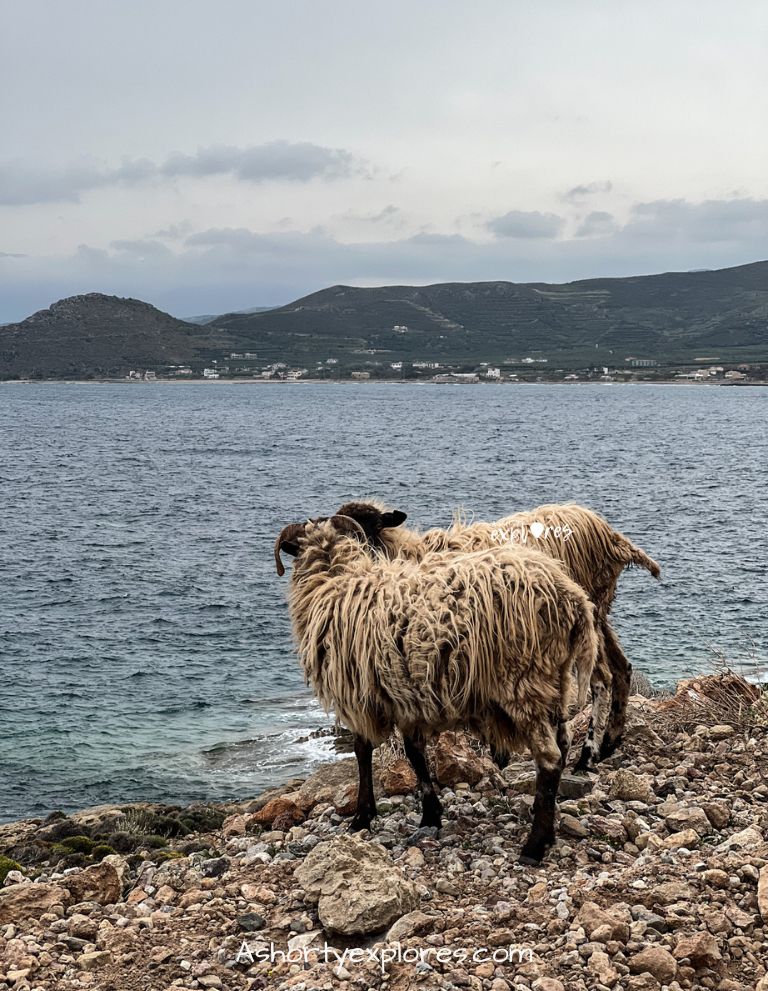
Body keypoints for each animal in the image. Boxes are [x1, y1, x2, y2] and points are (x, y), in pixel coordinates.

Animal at [276, 516, 600, 864]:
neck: (334, 581)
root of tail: (572, 597)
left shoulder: (361, 697)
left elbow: (363, 752)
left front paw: (362, 816)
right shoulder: (406, 697)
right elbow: (415, 755)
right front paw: (430, 815)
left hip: (525, 679)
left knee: (549, 758)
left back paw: (534, 846)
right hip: (556, 681)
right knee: (564, 744)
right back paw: (549, 833)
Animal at [332, 500, 656, 772]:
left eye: (364, 529)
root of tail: (609, 535)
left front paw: (500, 758)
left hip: (588, 615)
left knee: (601, 678)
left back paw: (587, 756)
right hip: (598, 611)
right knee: (622, 668)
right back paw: (609, 743)